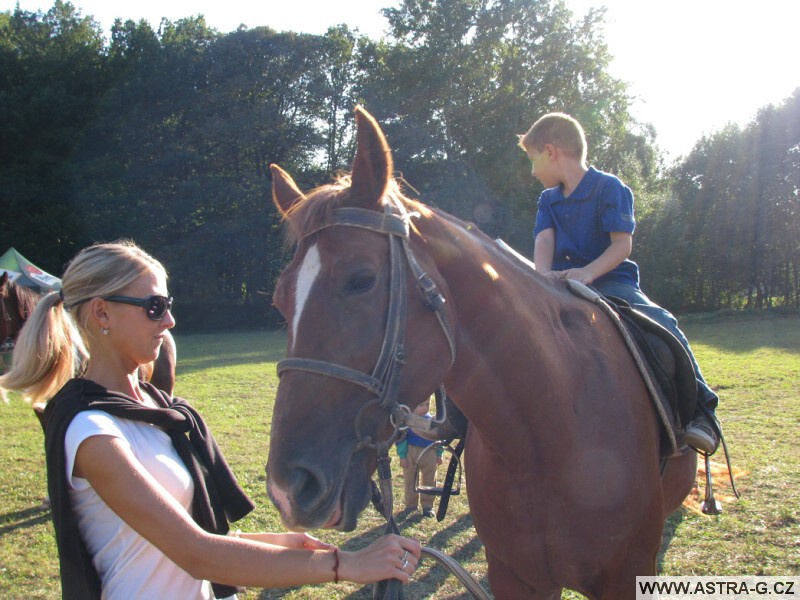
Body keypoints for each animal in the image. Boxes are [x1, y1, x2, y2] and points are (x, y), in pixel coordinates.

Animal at [266, 109, 696, 600]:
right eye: (280, 300)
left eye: (361, 279)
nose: (286, 488)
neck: (549, 433)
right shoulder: (517, 578)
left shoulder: (625, 575)